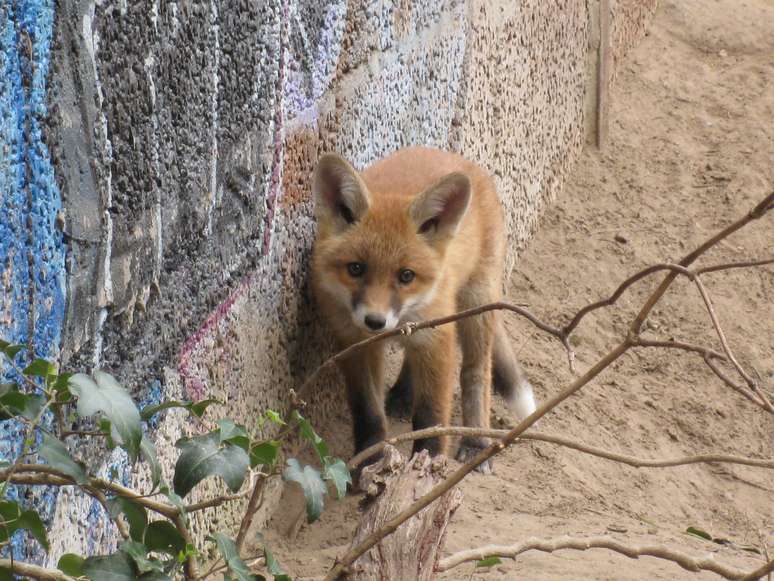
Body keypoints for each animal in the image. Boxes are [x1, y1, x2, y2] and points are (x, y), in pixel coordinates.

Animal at [310, 144, 540, 472]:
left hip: (476, 304)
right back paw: (403, 394)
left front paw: (428, 461)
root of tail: (462, 161)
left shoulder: (437, 336)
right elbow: (368, 413)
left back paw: (476, 441)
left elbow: (431, 414)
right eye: (355, 269)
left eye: (406, 276)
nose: (375, 322)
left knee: (477, 372)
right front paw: (369, 459)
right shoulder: (354, 343)